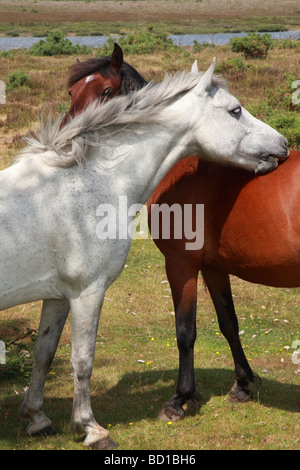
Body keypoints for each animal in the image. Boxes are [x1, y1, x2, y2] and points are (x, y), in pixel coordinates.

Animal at [0, 60, 288, 450]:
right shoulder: (87, 292)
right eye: (235, 110)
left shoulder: (58, 296)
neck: (84, 183)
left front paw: (37, 418)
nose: (283, 144)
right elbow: (82, 360)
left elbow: (44, 354)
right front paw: (91, 428)